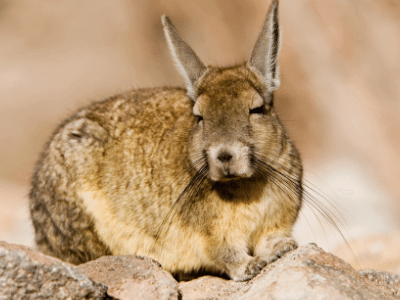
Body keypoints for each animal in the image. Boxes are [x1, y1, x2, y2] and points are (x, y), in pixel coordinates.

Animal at [29, 0, 302, 282]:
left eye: (256, 109)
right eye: (199, 116)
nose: (224, 155)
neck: (245, 185)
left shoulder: (277, 222)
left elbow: (271, 240)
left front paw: (284, 248)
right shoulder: (213, 237)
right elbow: (228, 255)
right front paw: (253, 265)